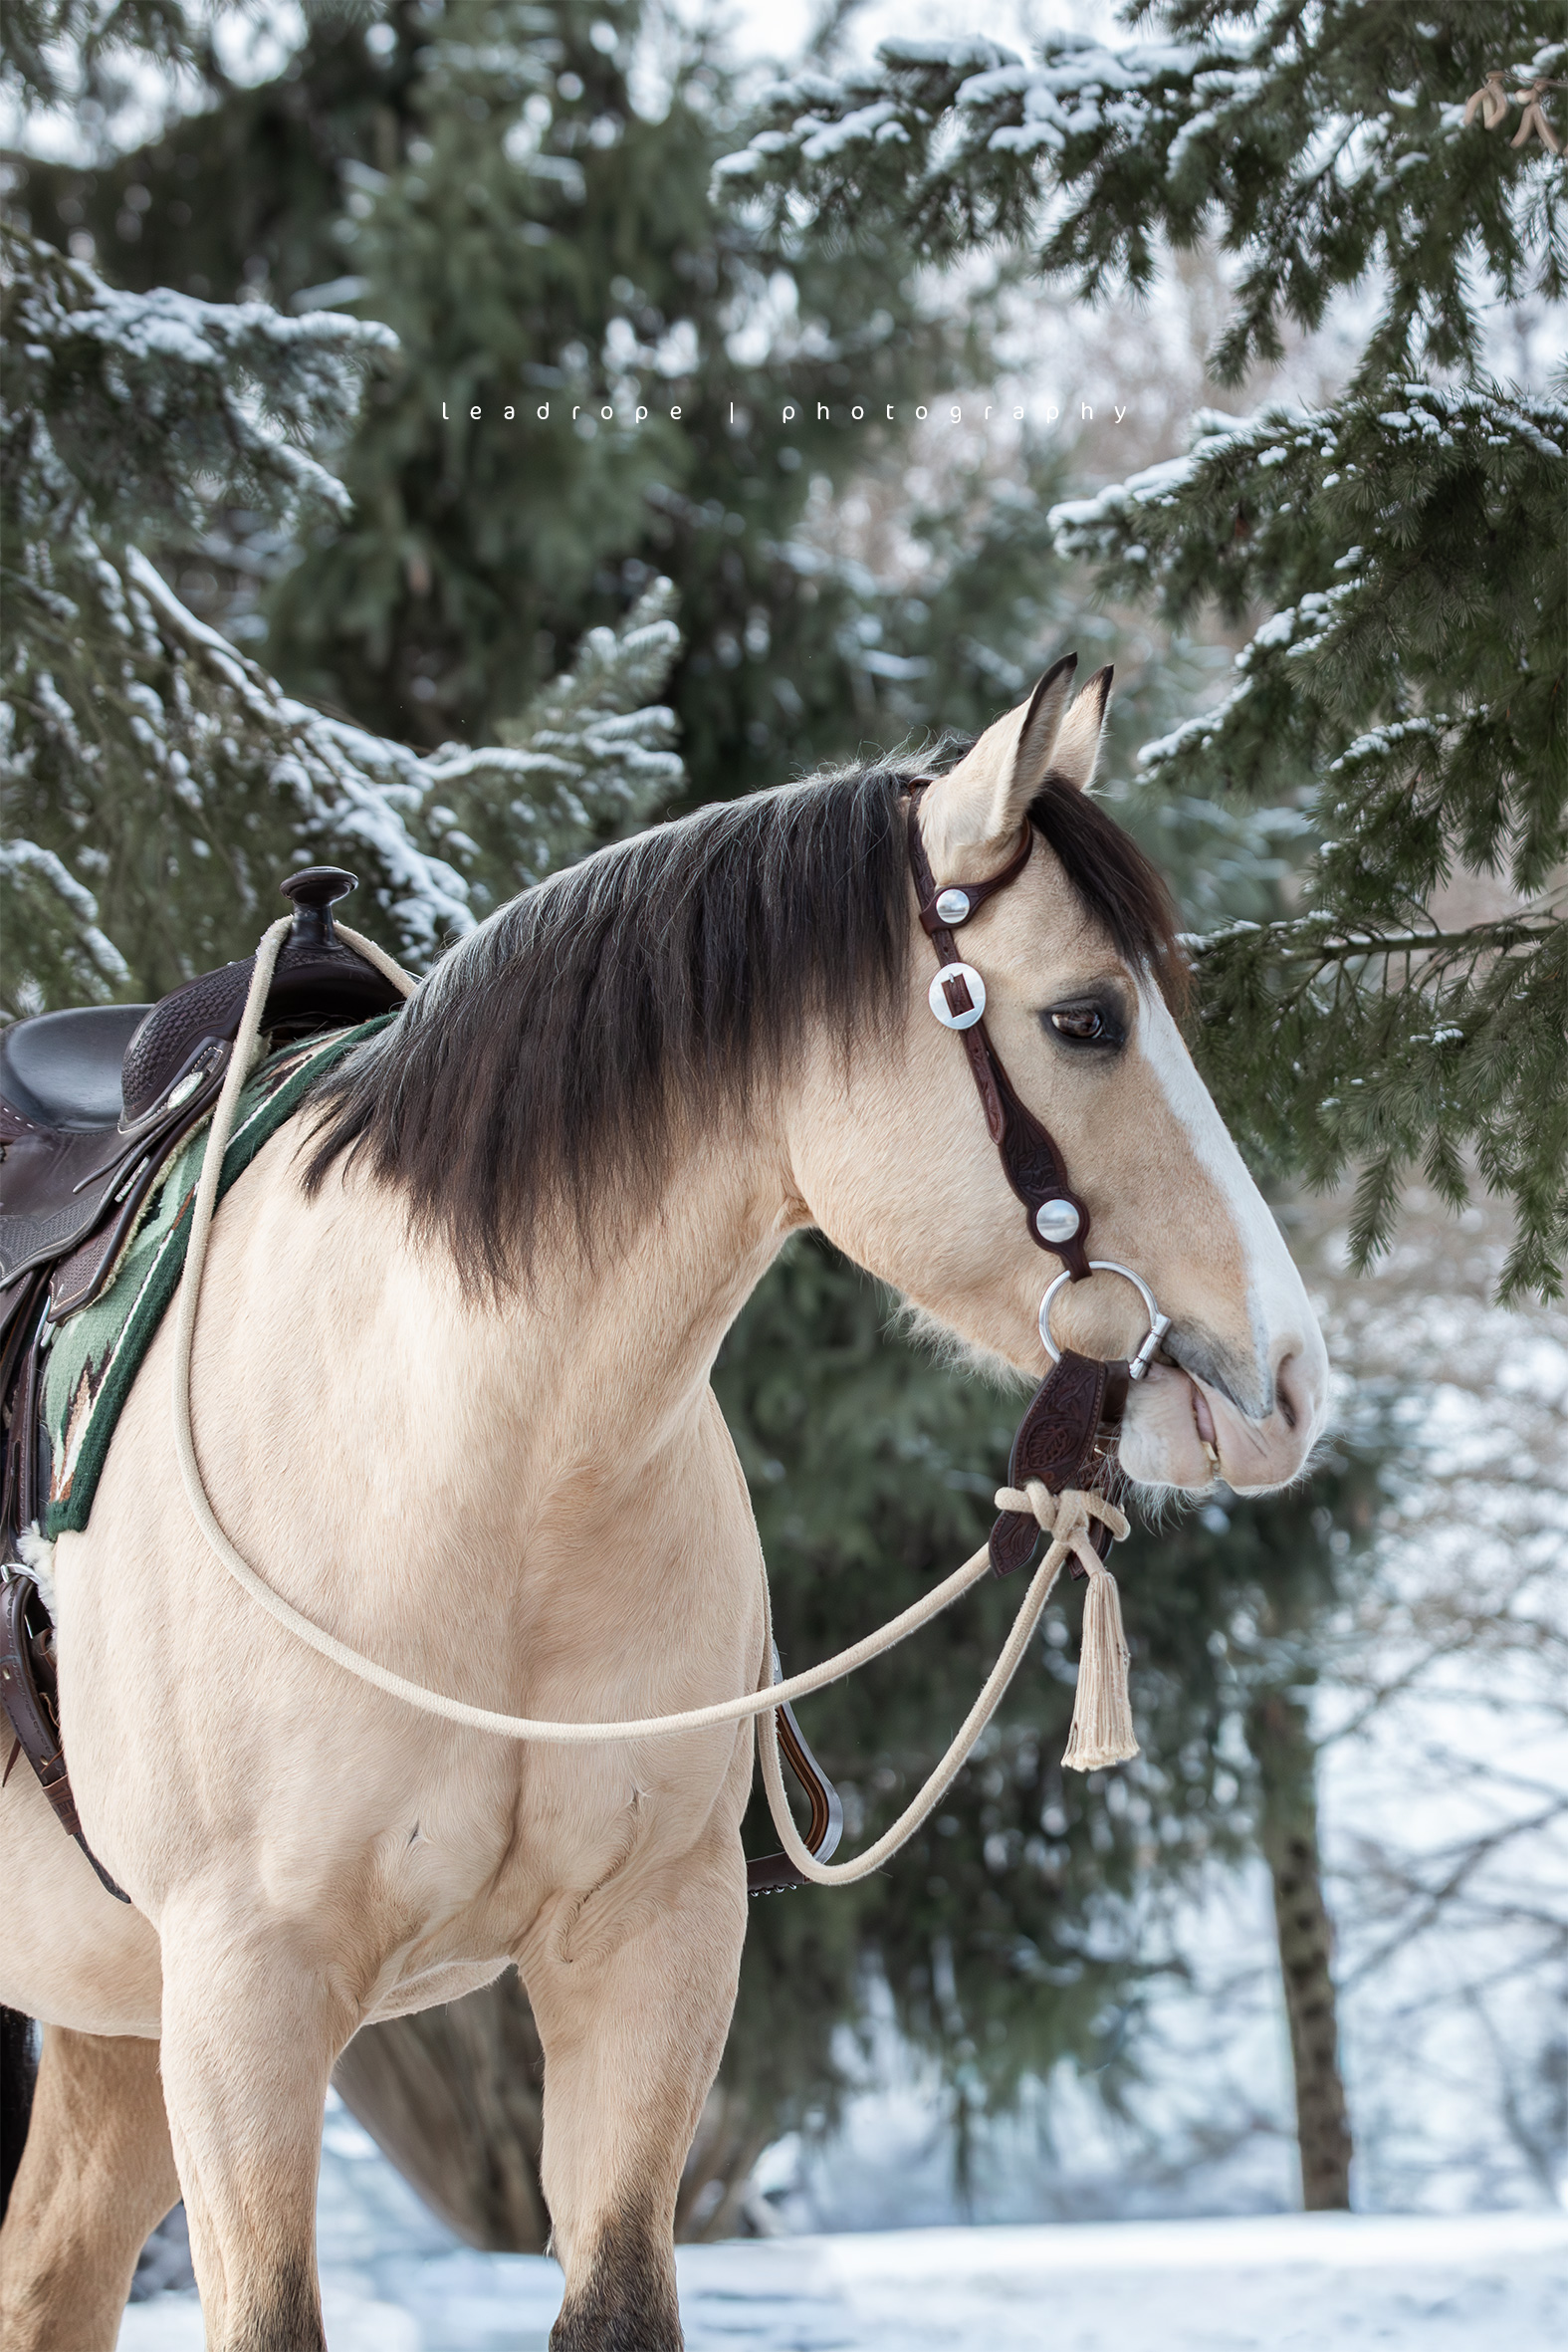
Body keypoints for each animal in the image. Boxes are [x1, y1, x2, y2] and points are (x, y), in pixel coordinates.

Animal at [0, 664, 1328, 2351]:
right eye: (1085, 1019)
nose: (1283, 1380)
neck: (466, 1461)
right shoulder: (247, 1987)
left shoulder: (649, 1950)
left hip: (112, 2017)